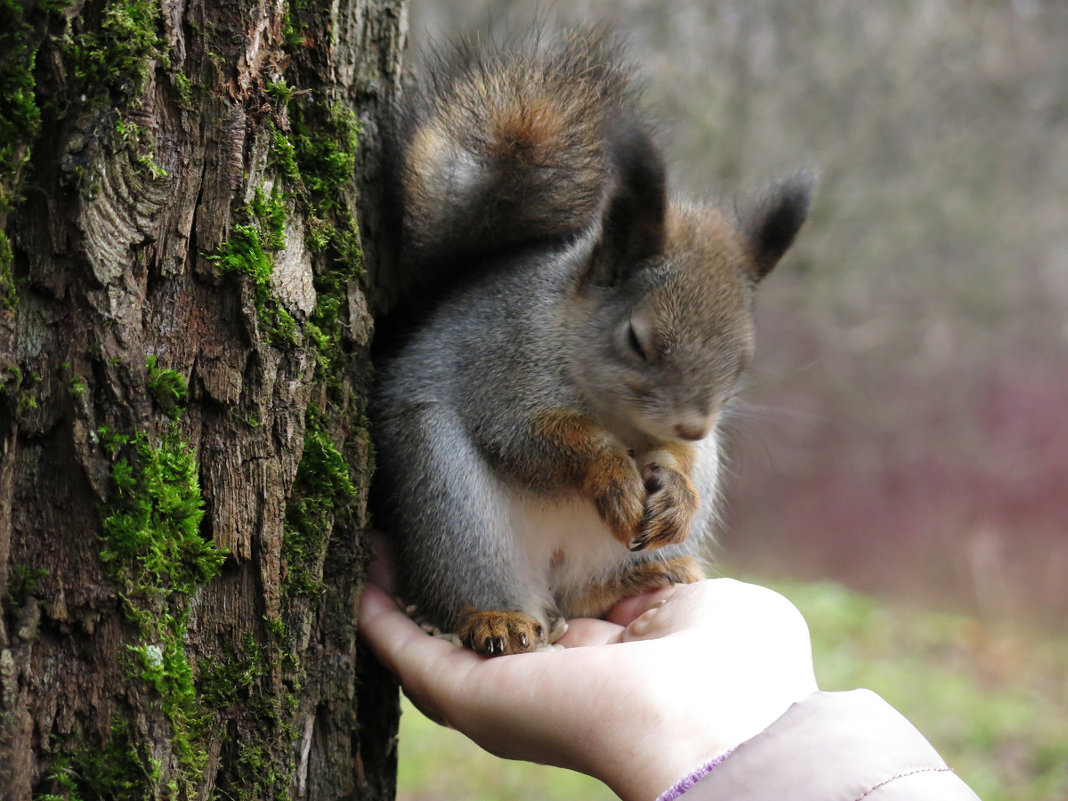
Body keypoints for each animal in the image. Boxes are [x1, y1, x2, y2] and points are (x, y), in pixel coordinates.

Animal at [371, 31, 811, 657]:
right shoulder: (503, 370)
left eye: (744, 359)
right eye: (636, 339)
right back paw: (495, 618)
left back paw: (648, 573)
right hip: (448, 498)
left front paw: (675, 487)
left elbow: (671, 459)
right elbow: (534, 437)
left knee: (583, 597)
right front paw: (610, 472)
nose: (694, 426)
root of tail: (550, 577)